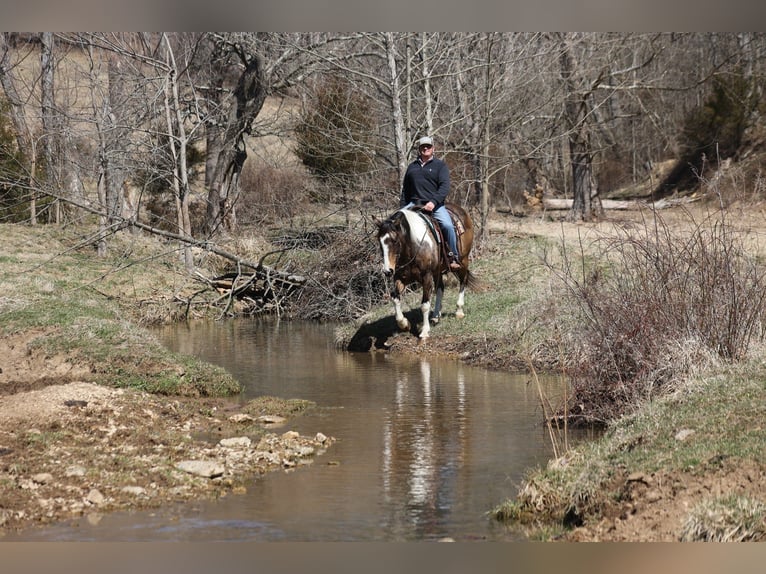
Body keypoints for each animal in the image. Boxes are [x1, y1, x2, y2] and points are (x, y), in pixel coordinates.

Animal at [376, 202, 478, 340]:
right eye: (379, 241)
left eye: (395, 240)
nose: (388, 271)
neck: (414, 246)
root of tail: (461, 210)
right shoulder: (400, 278)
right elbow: (395, 298)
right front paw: (404, 324)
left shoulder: (427, 277)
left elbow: (424, 305)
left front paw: (424, 331)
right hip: (438, 270)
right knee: (440, 287)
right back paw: (435, 316)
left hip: (463, 260)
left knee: (463, 281)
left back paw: (459, 311)